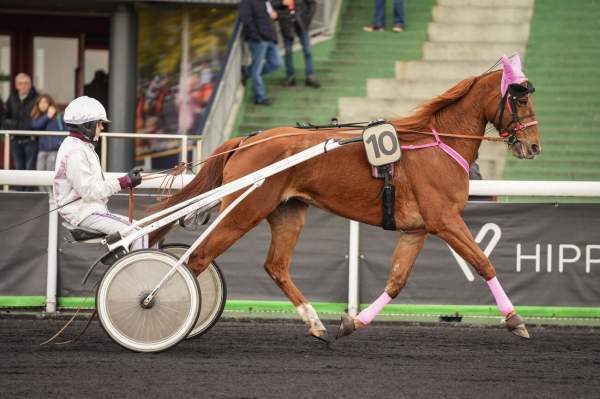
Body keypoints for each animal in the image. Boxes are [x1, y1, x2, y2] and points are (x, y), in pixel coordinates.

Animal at [149, 57, 540, 342]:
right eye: (521, 99)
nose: (534, 145)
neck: (438, 144)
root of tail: (248, 140)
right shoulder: (445, 220)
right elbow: (483, 263)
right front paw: (516, 320)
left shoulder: (417, 229)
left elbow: (396, 282)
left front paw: (353, 322)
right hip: (243, 210)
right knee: (197, 258)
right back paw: (161, 307)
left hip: (288, 213)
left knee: (275, 266)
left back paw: (315, 322)